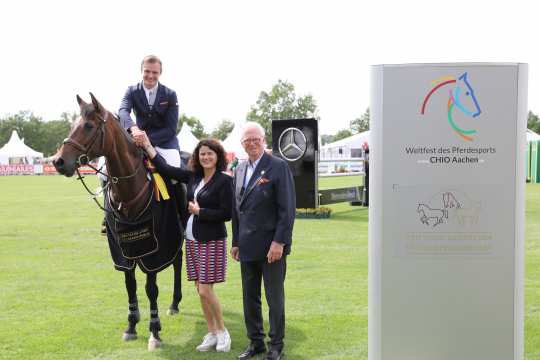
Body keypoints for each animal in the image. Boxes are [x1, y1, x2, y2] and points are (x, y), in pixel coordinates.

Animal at [53, 92, 184, 348]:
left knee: (177, 260)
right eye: (72, 125)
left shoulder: (152, 248)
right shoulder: (123, 248)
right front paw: (131, 325)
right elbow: (130, 285)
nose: (58, 161)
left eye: (88, 126)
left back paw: (174, 303)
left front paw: (154, 331)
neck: (129, 193)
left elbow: (151, 288)